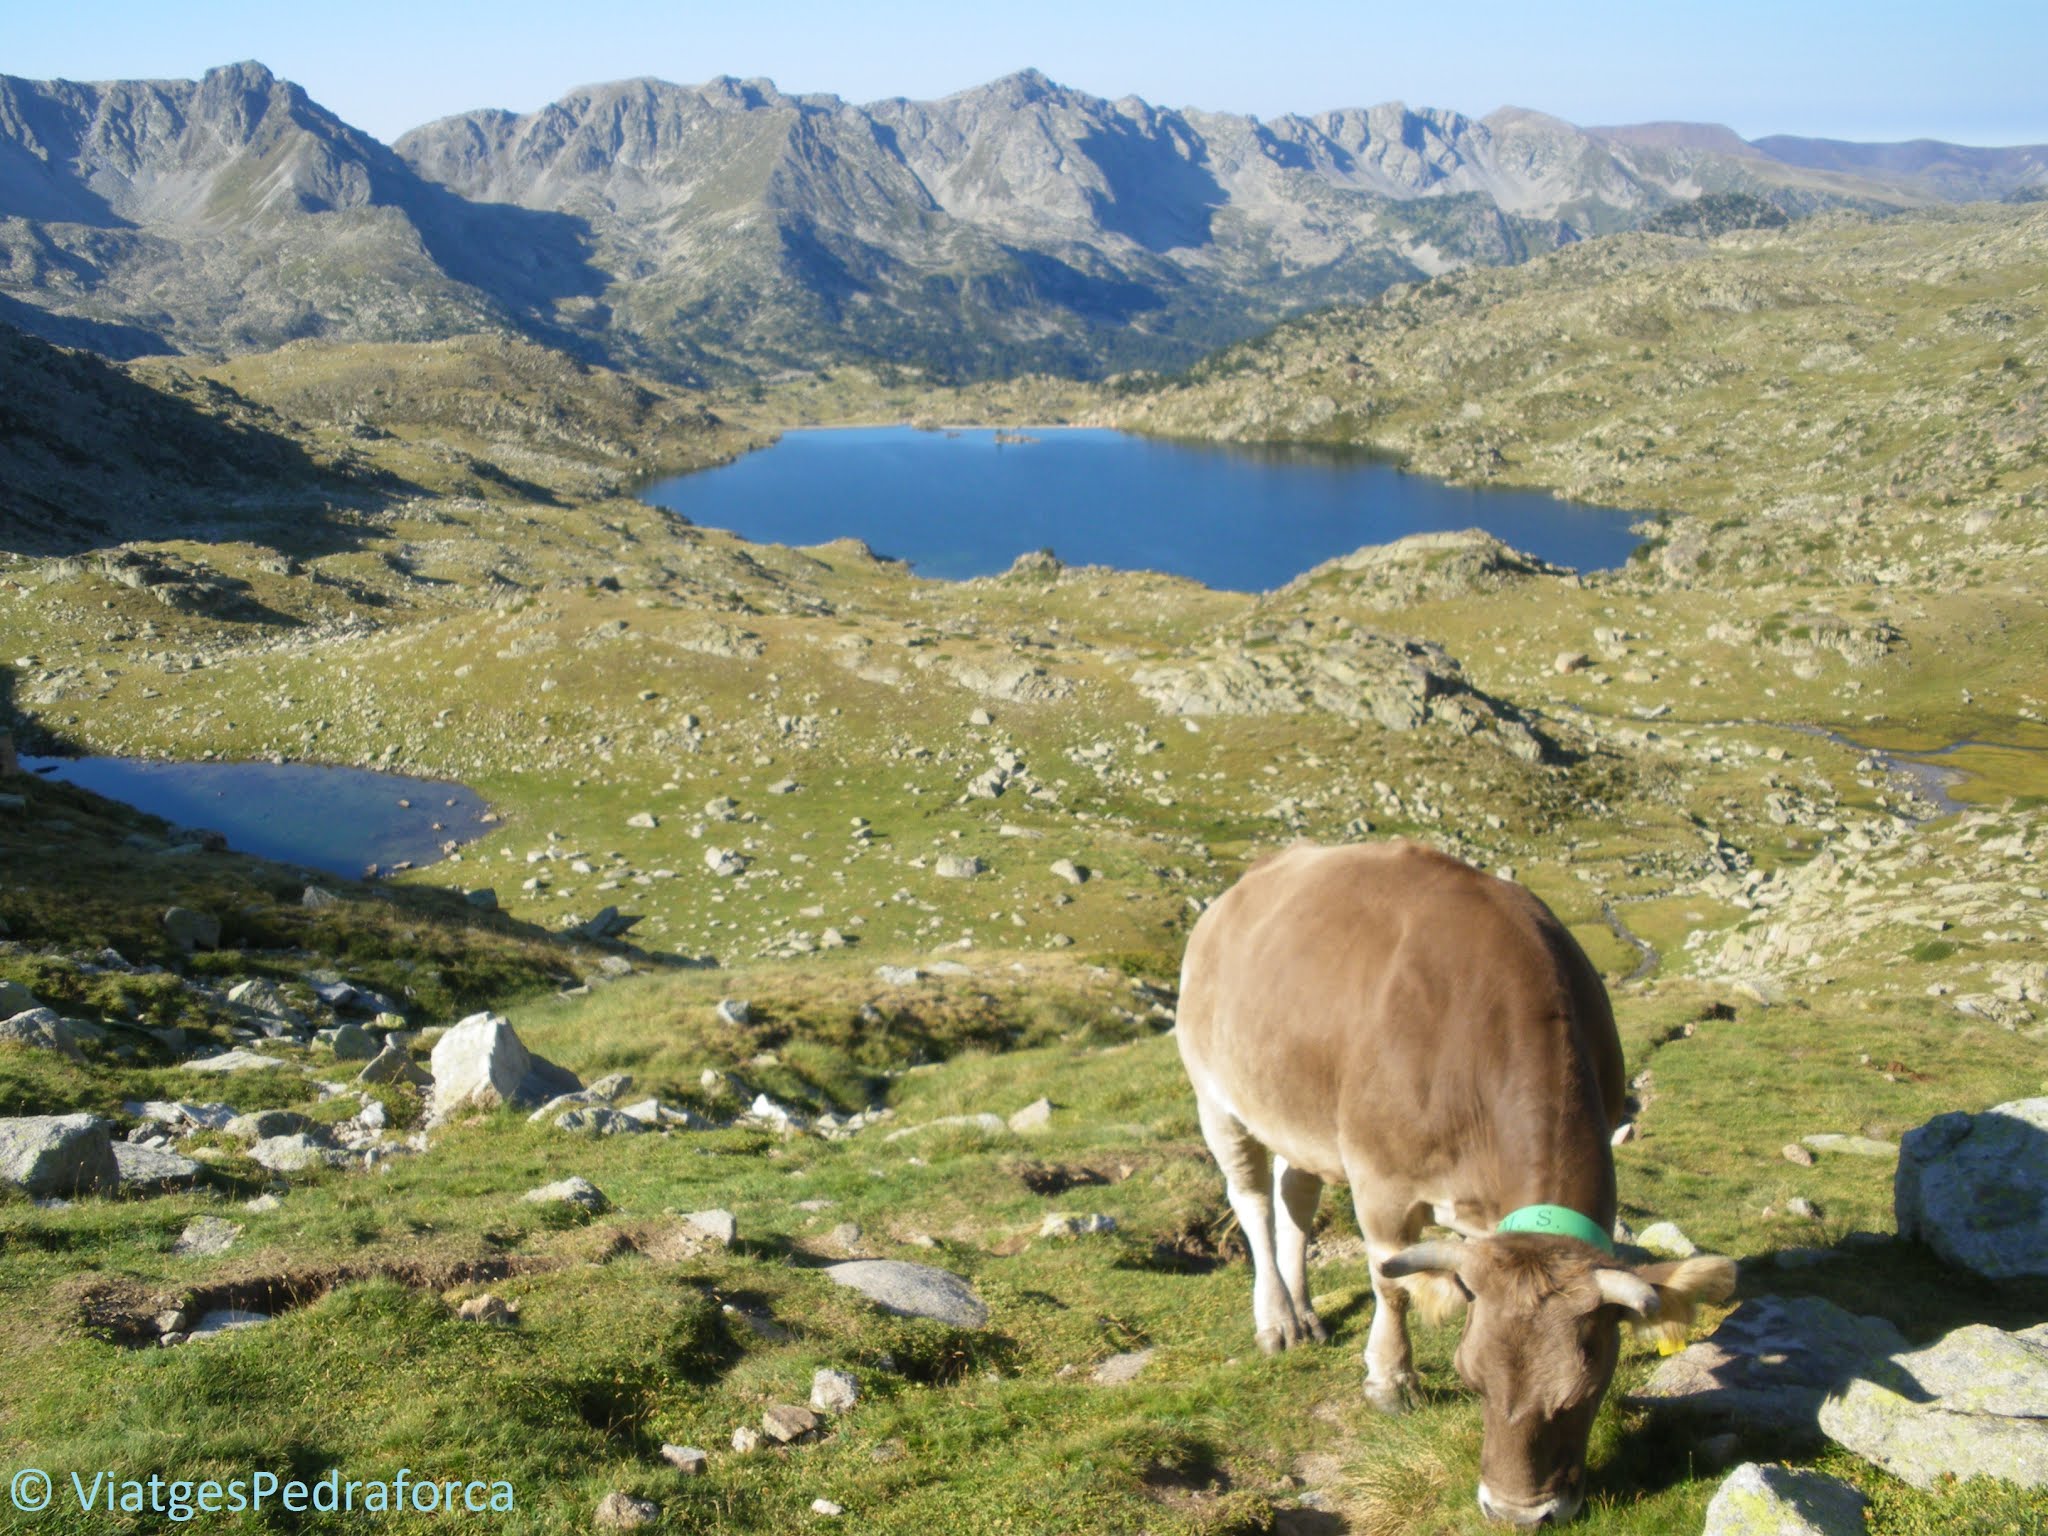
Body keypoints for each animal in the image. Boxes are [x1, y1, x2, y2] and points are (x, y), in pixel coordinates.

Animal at [1179, 843, 1736, 1531]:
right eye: (1472, 1381)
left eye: (1587, 1391)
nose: (1519, 1515)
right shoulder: (1381, 1182)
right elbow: (1391, 1285)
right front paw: (1391, 1383)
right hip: (1216, 1095)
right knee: (1253, 1200)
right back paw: (1278, 1321)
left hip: (1298, 1110)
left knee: (1295, 1196)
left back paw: (1306, 1313)